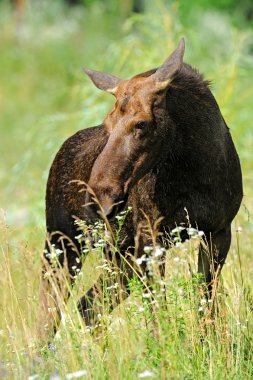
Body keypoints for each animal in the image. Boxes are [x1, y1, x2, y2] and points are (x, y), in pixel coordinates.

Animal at [38, 40, 243, 340]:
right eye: (107, 124)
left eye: (142, 123)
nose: (99, 198)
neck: (194, 170)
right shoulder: (151, 238)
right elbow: (159, 315)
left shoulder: (217, 231)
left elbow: (206, 307)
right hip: (62, 242)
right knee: (49, 313)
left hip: (118, 255)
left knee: (89, 304)